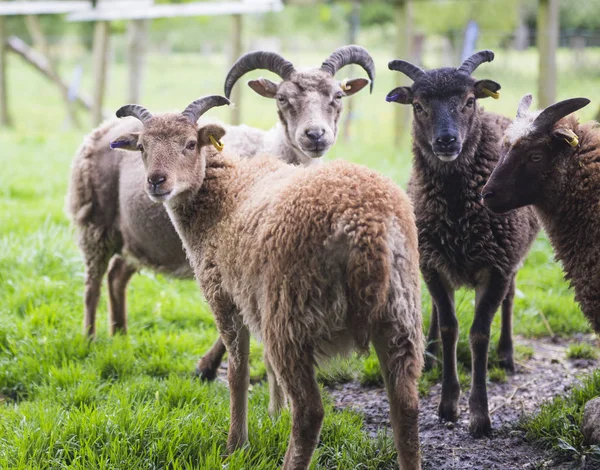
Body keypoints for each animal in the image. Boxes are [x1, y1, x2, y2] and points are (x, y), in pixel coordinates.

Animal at [67, 45, 376, 382]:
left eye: (338, 95)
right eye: (282, 98)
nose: (315, 135)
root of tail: (102, 129)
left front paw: (210, 364)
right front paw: (207, 366)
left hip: (136, 237)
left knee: (116, 276)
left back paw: (120, 335)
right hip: (95, 221)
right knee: (92, 283)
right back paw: (89, 339)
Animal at [110, 95, 424, 470]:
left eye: (190, 144)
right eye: (142, 147)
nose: (157, 182)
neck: (223, 194)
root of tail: (367, 223)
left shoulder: (224, 296)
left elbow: (238, 374)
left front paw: (235, 446)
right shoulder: (255, 301)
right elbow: (265, 369)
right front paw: (275, 414)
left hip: (292, 315)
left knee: (310, 413)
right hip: (399, 316)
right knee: (406, 409)